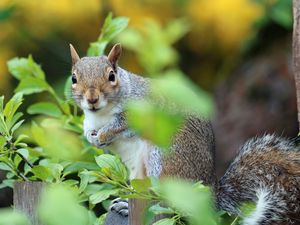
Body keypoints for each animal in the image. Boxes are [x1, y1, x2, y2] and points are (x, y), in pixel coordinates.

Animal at [70, 44, 300, 225]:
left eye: (111, 76)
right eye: (73, 77)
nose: (92, 99)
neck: (100, 114)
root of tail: (210, 196)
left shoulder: (144, 110)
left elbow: (123, 124)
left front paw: (103, 136)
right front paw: (90, 135)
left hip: (165, 159)